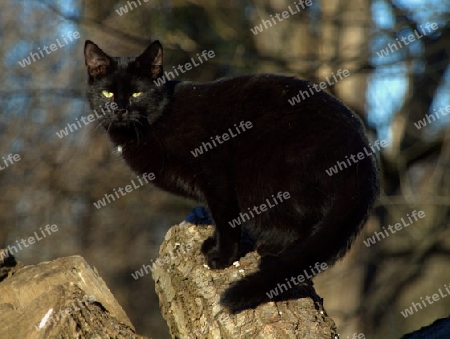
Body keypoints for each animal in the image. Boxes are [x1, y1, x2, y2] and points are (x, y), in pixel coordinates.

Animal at [83, 39, 380, 314]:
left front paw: (221, 257)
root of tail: (361, 146)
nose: (120, 109)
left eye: (137, 92)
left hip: (263, 174)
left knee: (304, 222)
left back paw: (273, 253)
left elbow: (225, 218)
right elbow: (217, 216)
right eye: (108, 93)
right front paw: (212, 245)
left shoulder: (215, 172)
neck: (156, 122)